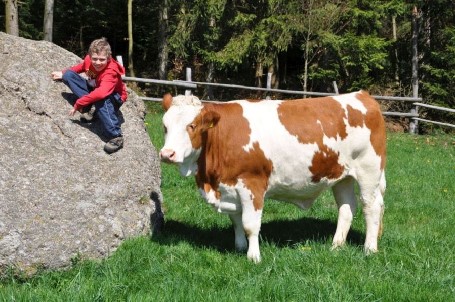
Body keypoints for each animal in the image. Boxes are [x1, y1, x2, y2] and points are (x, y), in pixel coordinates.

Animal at [159, 91, 386, 264]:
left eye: (192, 125)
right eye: (165, 126)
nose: (167, 154)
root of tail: (362, 95)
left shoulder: (252, 184)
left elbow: (250, 224)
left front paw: (253, 257)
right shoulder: (230, 187)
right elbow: (236, 221)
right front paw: (239, 247)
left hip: (369, 171)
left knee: (371, 207)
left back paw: (370, 249)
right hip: (342, 176)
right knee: (347, 208)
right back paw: (336, 246)